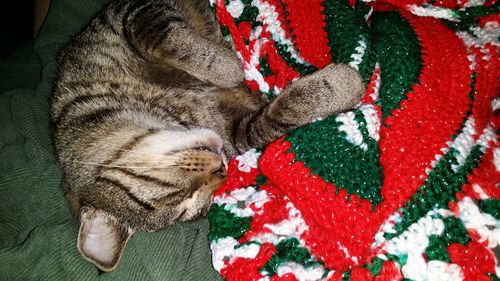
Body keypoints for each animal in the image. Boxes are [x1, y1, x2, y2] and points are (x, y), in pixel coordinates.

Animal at [51, 0, 364, 272]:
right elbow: (275, 118)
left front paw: (228, 66)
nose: (222, 169)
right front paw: (339, 85)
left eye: (175, 192)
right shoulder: (240, 130)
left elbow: (168, 39)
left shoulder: (130, 13)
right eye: (187, 206)